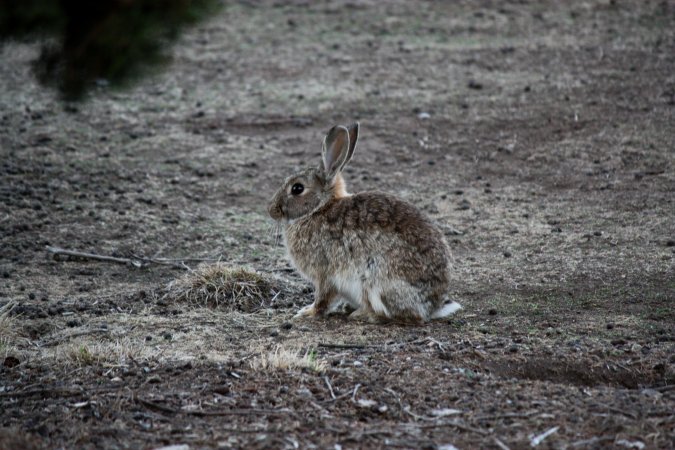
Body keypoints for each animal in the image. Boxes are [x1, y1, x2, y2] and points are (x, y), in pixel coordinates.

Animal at [268, 122, 462, 323]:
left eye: (297, 188)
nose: (272, 210)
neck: (319, 208)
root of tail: (432, 307)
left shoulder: (325, 273)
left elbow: (323, 297)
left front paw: (307, 312)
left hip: (376, 282)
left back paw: (361, 313)